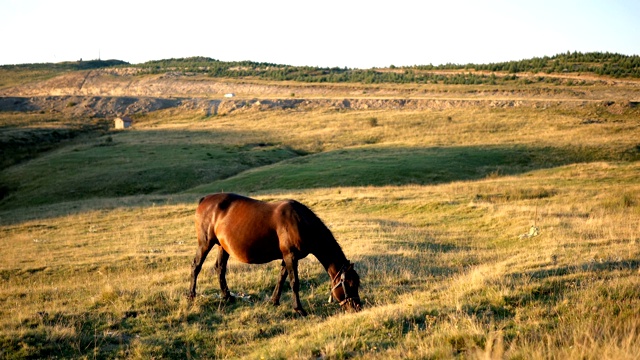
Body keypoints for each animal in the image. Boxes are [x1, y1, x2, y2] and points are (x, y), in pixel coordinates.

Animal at [188, 191, 362, 316]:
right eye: (350, 284)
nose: (357, 307)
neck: (301, 222)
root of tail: (205, 199)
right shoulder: (291, 256)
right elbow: (294, 282)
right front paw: (299, 309)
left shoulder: (287, 258)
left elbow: (281, 279)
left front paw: (274, 301)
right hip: (205, 243)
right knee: (196, 266)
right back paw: (191, 295)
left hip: (222, 247)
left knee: (220, 268)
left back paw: (227, 296)